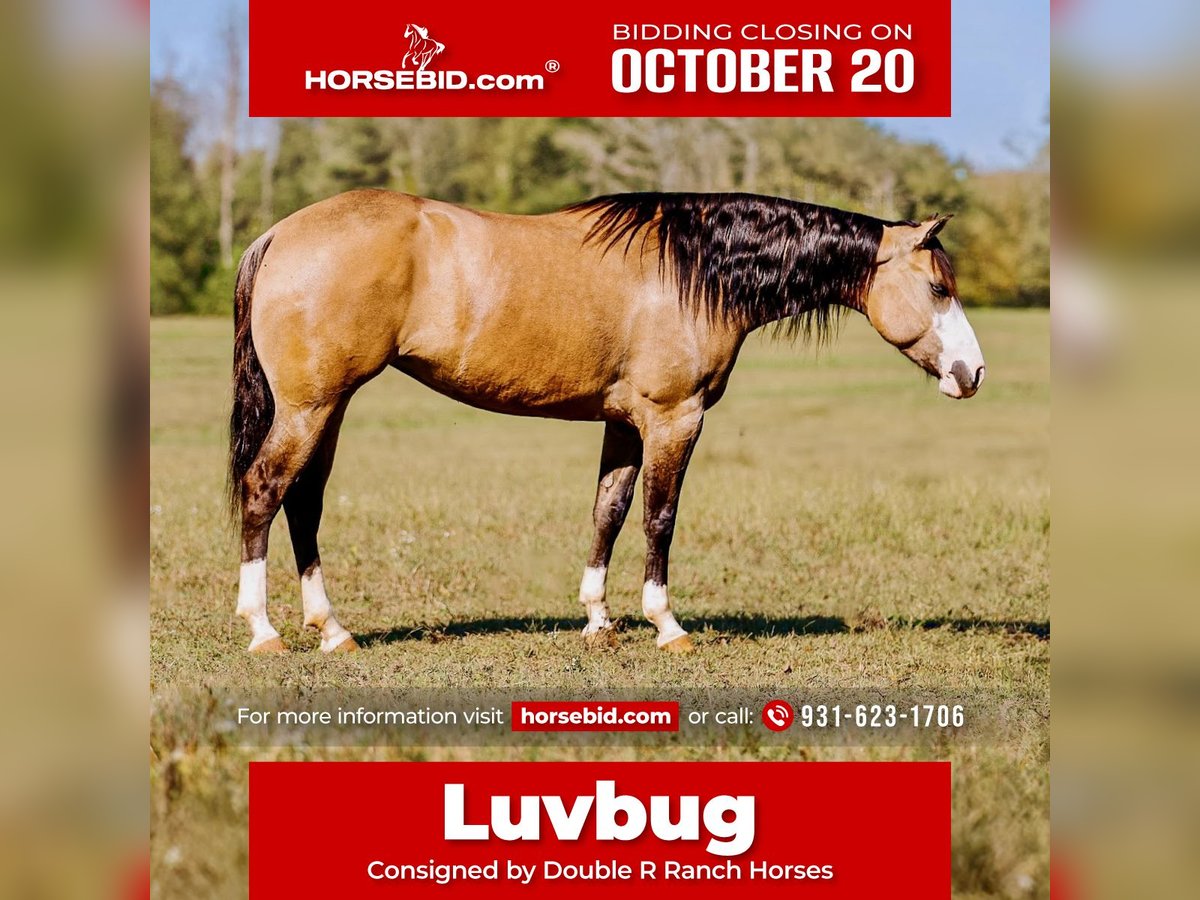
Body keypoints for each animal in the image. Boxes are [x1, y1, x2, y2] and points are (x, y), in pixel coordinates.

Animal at [228, 190, 986, 655]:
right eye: (937, 287)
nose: (973, 373)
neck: (693, 270)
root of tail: (276, 234)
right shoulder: (674, 419)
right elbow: (658, 518)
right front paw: (666, 625)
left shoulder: (623, 423)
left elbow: (608, 512)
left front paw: (597, 620)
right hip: (310, 408)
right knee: (265, 491)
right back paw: (264, 631)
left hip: (329, 407)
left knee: (304, 500)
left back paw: (332, 630)